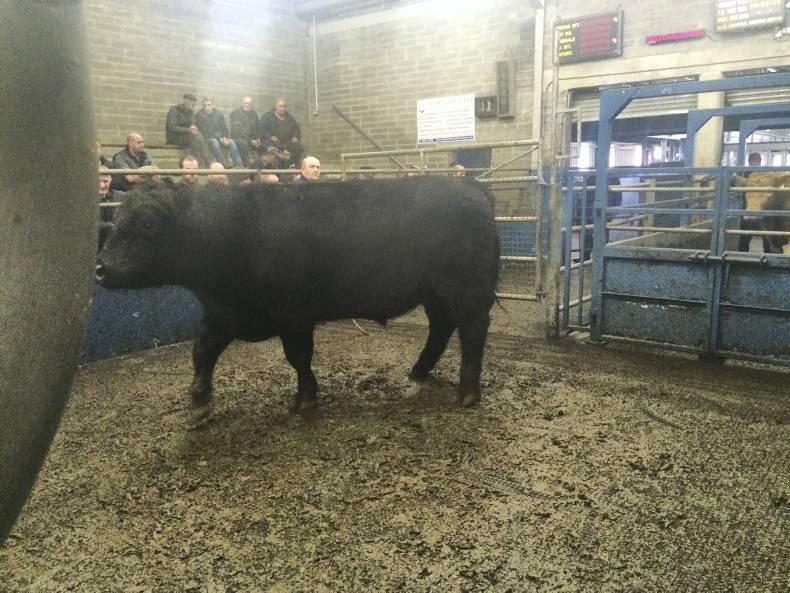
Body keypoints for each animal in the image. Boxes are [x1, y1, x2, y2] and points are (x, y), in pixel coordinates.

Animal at [95, 177, 500, 424]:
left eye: (148, 224)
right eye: (115, 223)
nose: (100, 267)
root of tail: (468, 185)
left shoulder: (294, 315)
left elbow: (298, 357)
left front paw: (305, 398)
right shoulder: (224, 315)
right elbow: (202, 352)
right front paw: (199, 402)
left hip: (465, 287)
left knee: (472, 330)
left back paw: (467, 393)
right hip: (435, 291)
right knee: (442, 327)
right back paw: (418, 371)